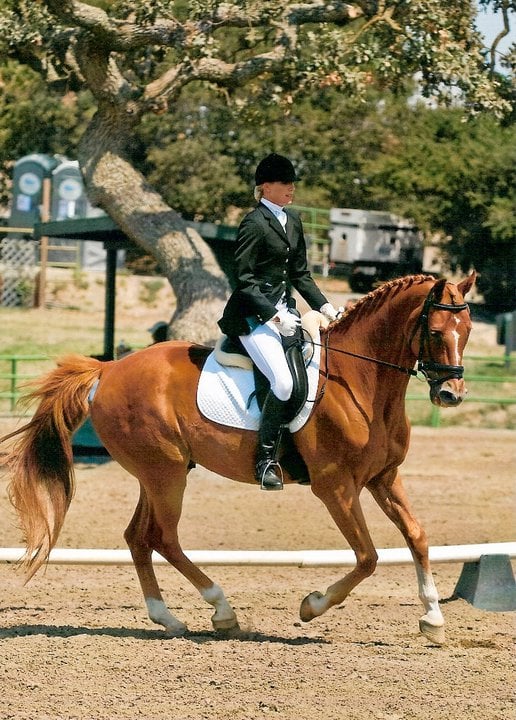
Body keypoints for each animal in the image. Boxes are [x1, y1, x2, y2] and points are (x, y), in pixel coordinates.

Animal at [1, 272, 475, 644]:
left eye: (467, 329)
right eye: (436, 331)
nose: (450, 395)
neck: (360, 381)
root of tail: (108, 369)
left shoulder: (384, 477)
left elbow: (417, 536)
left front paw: (433, 619)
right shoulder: (336, 488)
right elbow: (368, 557)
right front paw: (311, 606)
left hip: (157, 474)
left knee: (138, 537)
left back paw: (167, 618)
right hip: (166, 475)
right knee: (163, 538)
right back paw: (222, 611)